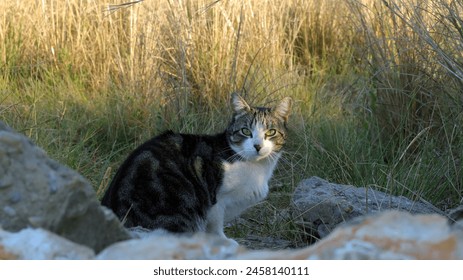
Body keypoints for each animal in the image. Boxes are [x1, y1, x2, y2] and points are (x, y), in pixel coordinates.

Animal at [102, 93, 292, 240]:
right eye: (246, 131)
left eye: (271, 132)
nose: (257, 146)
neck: (256, 167)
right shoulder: (215, 197)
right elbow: (214, 224)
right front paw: (223, 240)